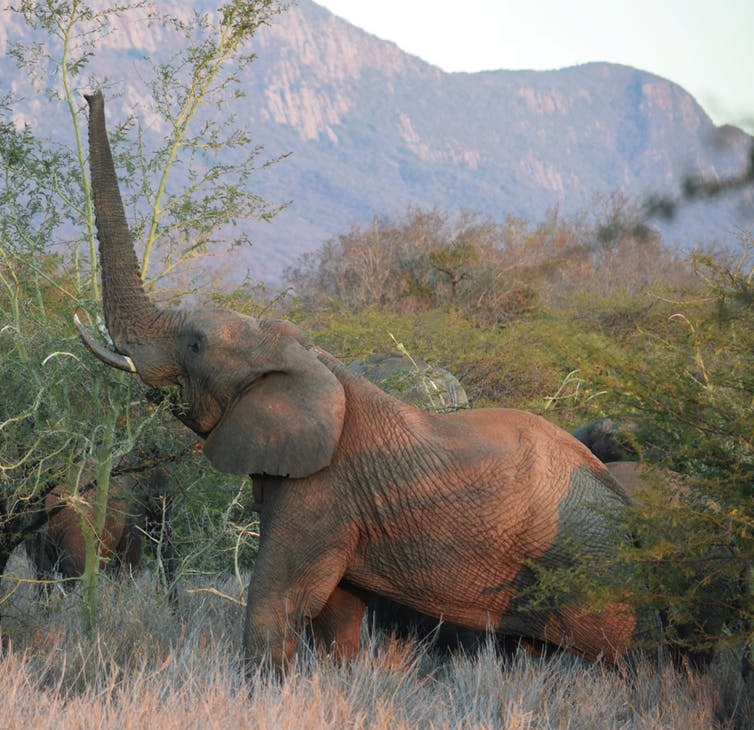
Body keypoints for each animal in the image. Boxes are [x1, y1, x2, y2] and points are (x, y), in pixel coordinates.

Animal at [75, 91, 652, 672]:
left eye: (195, 345)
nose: (91, 93)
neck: (308, 357)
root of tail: (630, 514)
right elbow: (338, 609)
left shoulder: (323, 490)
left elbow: (279, 597)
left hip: (589, 571)